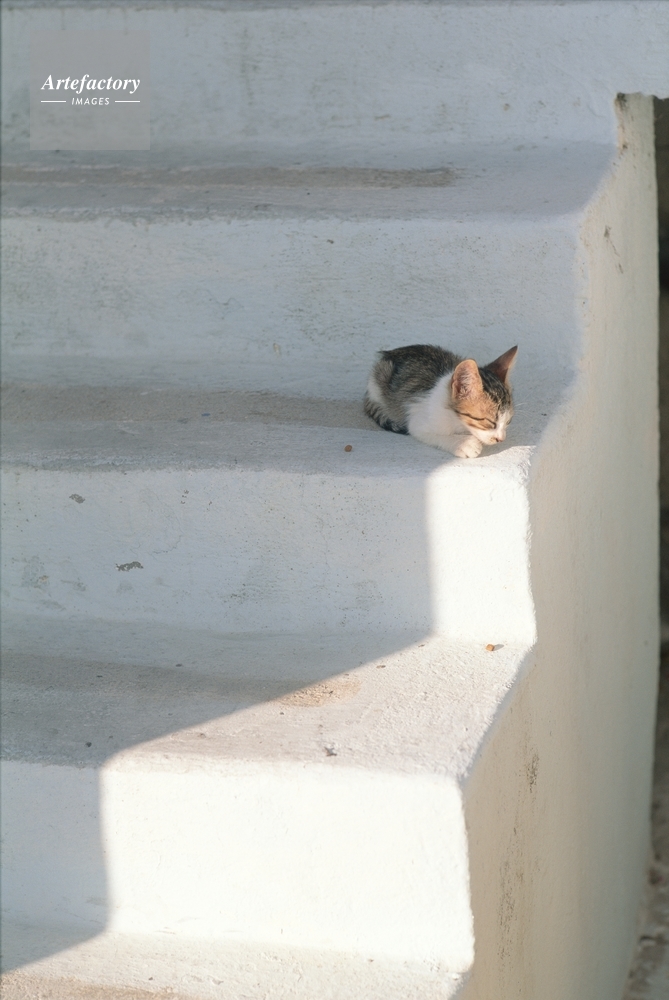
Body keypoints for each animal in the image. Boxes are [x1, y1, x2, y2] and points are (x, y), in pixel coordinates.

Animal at [364, 344, 517, 458]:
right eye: (490, 422)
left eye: (508, 421)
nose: (501, 439)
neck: (458, 421)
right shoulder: (418, 421)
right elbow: (436, 435)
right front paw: (464, 444)